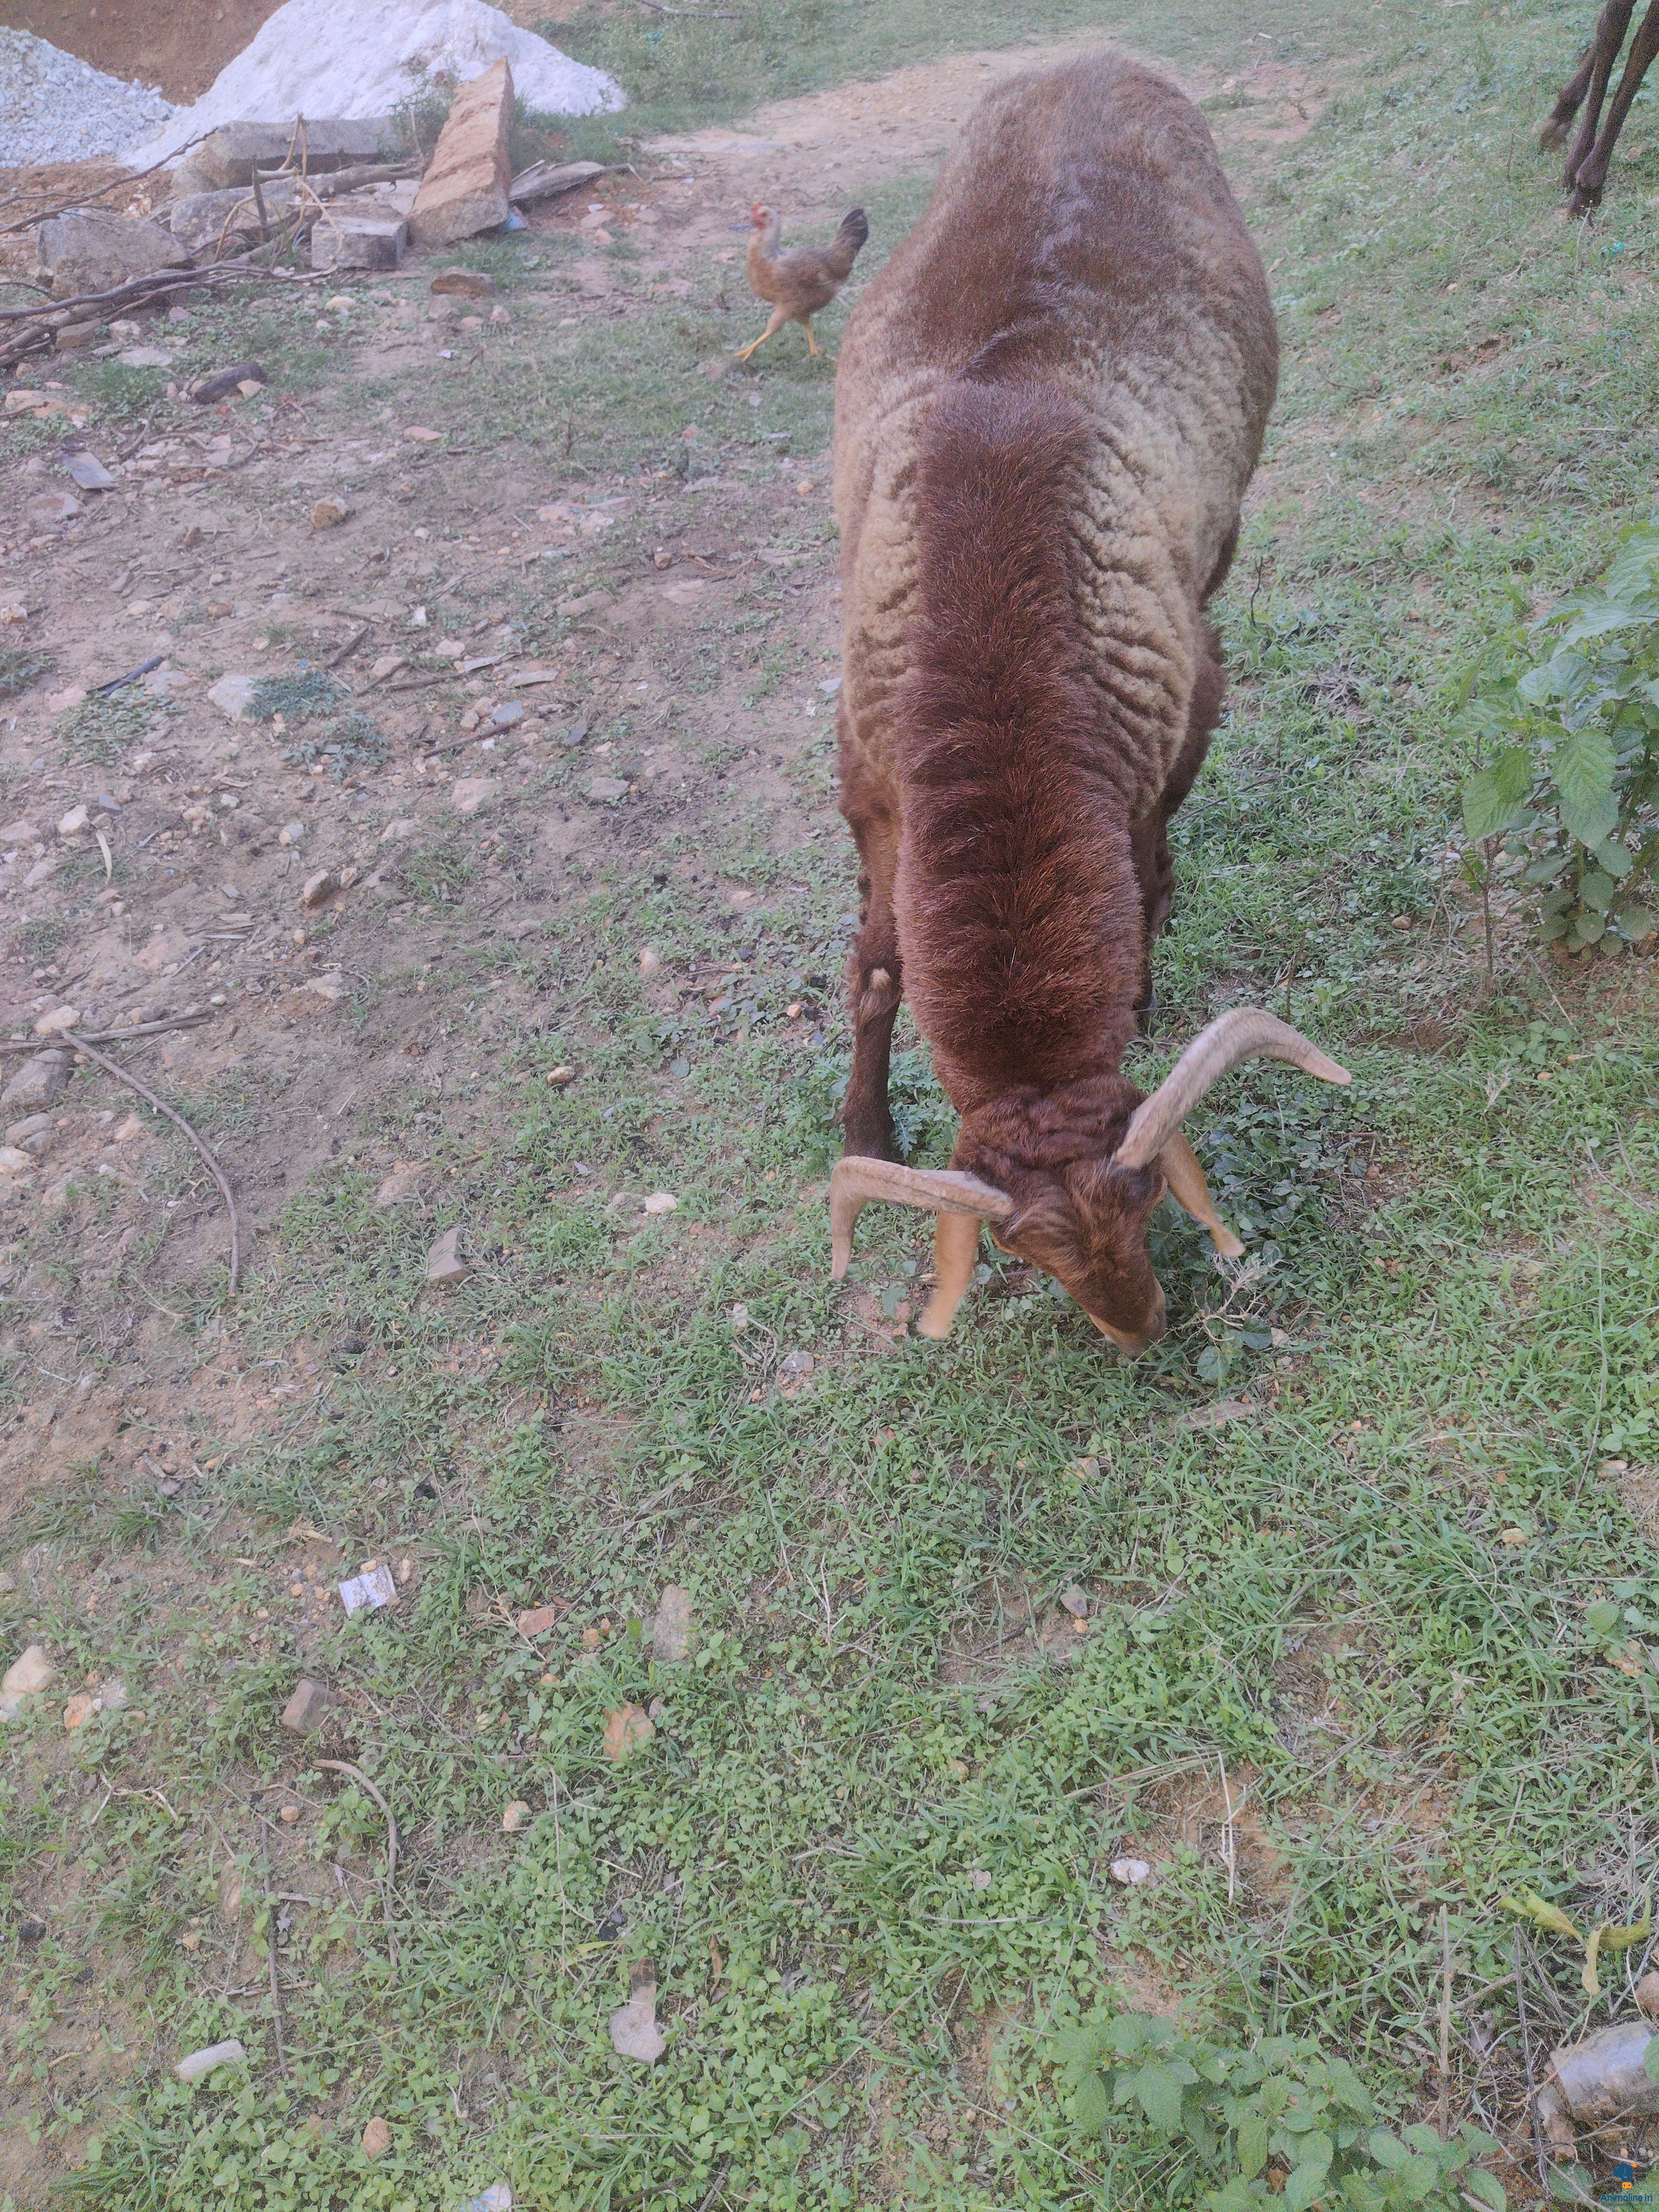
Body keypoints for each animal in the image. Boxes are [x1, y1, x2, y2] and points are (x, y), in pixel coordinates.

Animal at [826, 52, 1349, 1354]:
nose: (1141, 1327)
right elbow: (875, 968)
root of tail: (1096, 58)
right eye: (1018, 1250)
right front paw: (864, 1127)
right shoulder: (867, 780)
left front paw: (1149, 993)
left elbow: (1151, 870)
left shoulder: (1180, 718)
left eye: (1156, 1194)